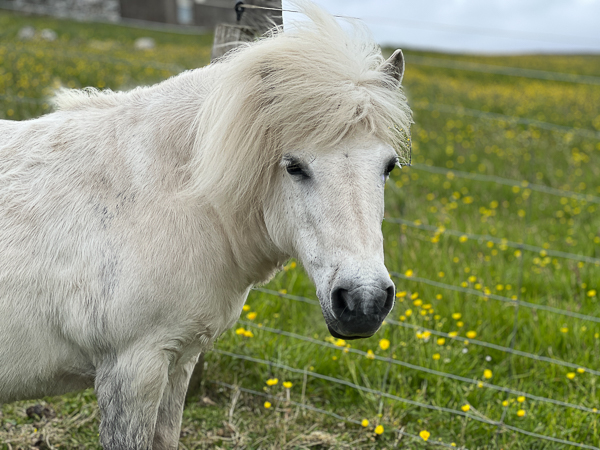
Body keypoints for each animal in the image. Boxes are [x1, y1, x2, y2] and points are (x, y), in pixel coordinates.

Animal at [0, 1, 408, 448]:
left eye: (389, 166)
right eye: (294, 166)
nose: (364, 302)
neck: (174, 196)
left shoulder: (178, 359)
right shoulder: (131, 369)